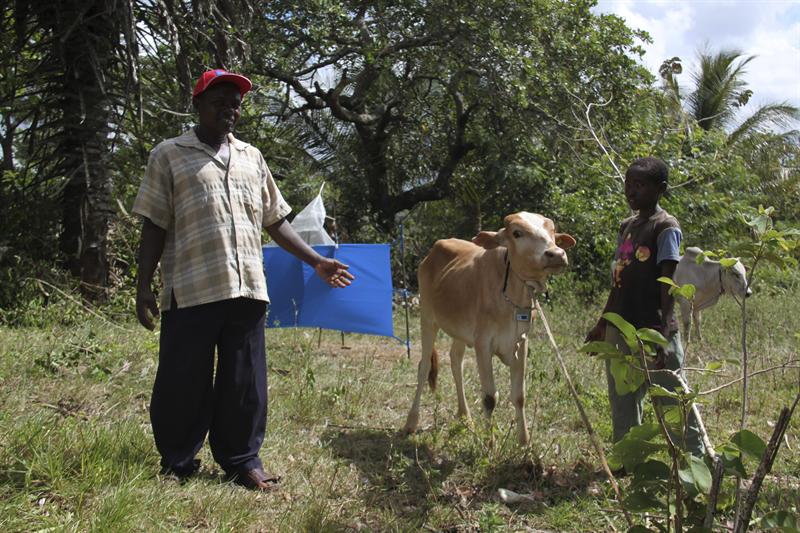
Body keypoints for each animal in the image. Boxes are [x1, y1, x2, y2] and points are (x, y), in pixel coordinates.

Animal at [404, 212, 580, 444]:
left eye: (552, 231)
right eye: (517, 233)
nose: (556, 254)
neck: (512, 296)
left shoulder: (521, 342)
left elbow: (519, 396)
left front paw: (524, 442)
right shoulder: (483, 344)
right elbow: (489, 397)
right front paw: (490, 443)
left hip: (460, 331)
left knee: (456, 360)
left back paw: (465, 417)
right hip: (427, 318)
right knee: (424, 367)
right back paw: (411, 422)